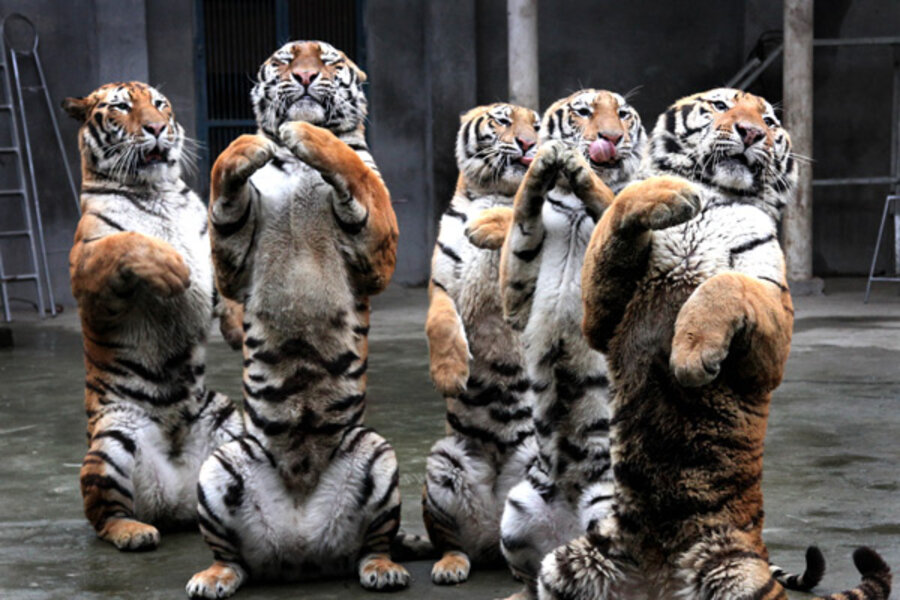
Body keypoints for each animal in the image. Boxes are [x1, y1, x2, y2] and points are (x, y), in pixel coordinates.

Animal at [62, 82, 246, 552]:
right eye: (121, 107)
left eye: (160, 105)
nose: (157, 128)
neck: (156, 191)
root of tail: (173, 499)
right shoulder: (87, 274)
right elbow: (129, 242)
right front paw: (172, 269)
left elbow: (224, 279)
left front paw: (238, 327)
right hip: (111, 440)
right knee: (104, 515)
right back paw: (133, 532)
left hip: (231, 425)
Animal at [186, 39, 408, 596]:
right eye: (287, 59)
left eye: (327, 60)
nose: (306, 77)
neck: (297, 169)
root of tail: (301, 548)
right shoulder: (233, 266)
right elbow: (225, 186)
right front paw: (250, 144)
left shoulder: (378, 251)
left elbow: (350, 166)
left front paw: (308, 135)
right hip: (221, 462)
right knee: (231, 555)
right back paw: (213, 577)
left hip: (376, 451)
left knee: (372, 544)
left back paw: (384, 569)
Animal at [536, 88, 892, 600]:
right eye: (722, 106)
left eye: (768, 120)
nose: (752, 133)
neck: (718, 201)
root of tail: (657, 581)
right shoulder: (602, 319)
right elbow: (616, 218)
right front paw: (667, 193)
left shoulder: (771, 337)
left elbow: (723, 284)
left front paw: (689, 358)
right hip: (563, 567)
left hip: (736, 576)